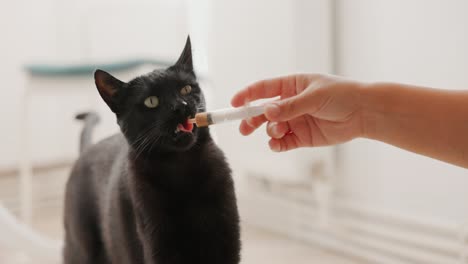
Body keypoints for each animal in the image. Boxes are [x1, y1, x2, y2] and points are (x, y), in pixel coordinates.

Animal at [64, 37, 241, 264]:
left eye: (185, 89)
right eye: (151, 101)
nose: (181, 106)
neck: (183, 169)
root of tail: (87, 149)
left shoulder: (226, 244)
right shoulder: (158, 246)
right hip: (81, 250)